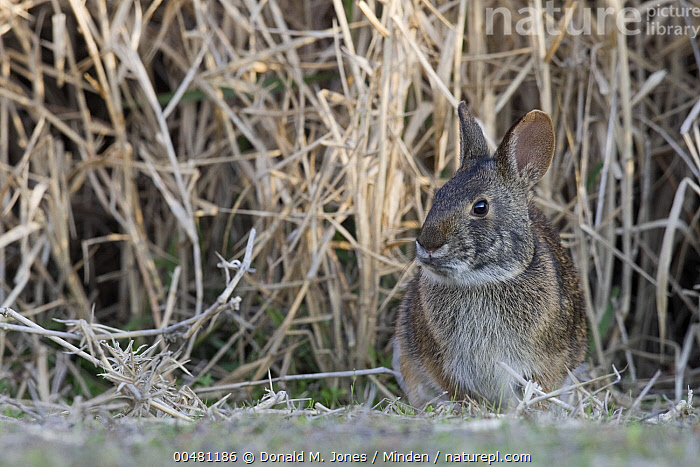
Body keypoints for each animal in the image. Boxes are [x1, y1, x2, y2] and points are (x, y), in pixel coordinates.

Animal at [393, 102, 587, 409]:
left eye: (480, 207)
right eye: (438, 196)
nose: (428, 245)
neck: (482, 281)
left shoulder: (546, 362)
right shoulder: (442, 364)